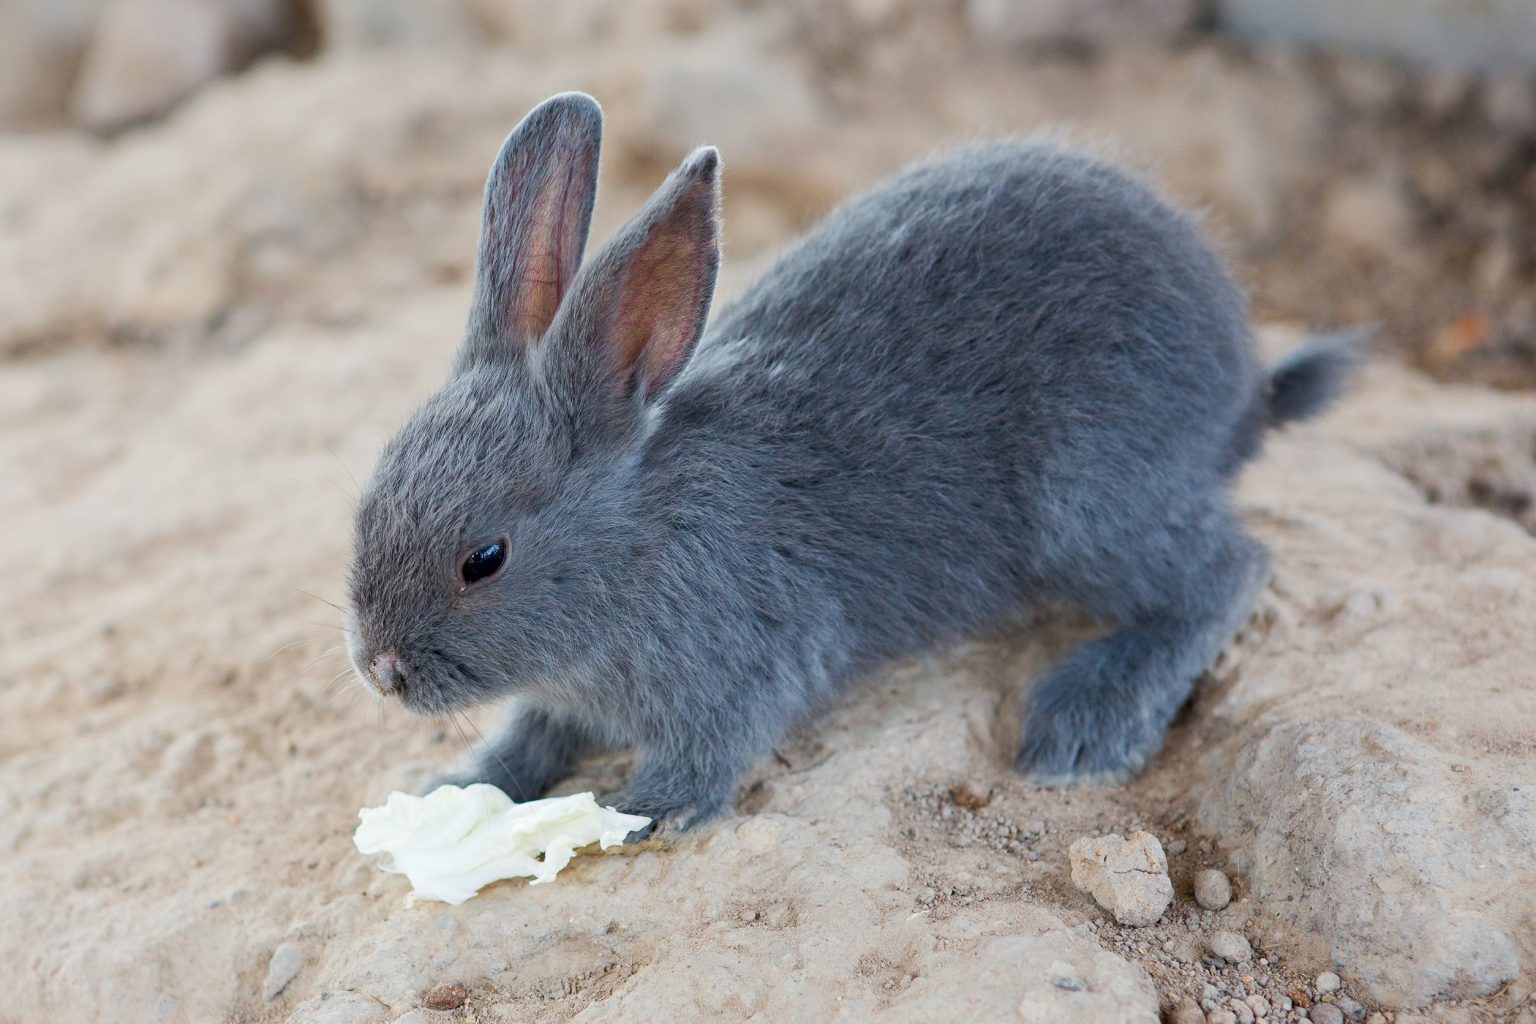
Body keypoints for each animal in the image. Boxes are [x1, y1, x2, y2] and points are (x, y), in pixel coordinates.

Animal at [346, 91, 1352, 832]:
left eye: (484, 559)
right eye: (363, 507)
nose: (380, 671)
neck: (638, 542)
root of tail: (1243, 393)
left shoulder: (745, 663)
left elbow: (708, 751)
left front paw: (642, 810)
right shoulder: (562, 697)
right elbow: (527, 735)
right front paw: (458, 787)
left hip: (1088, 505)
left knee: (1225, 572)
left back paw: (1086, 722)